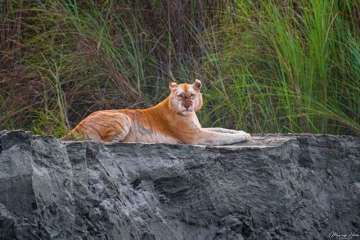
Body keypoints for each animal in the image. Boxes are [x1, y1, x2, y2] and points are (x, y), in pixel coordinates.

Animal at [62, 79, 250, 145]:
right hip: (123, 117)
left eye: (192, 95)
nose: (187, 105)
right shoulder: (197, 136)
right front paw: (244, 136)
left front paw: (244, 132)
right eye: (181, 96)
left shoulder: (199, 129)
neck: (190, 114)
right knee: (103, 142)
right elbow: (222, 136)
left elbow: (223, 130)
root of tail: (77, 126)